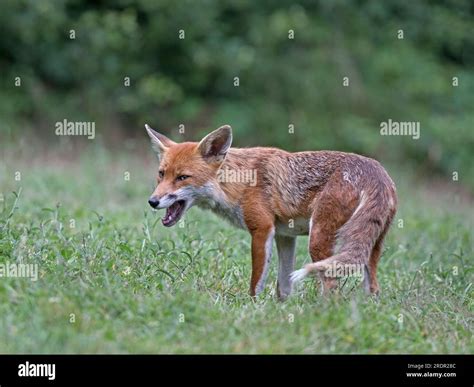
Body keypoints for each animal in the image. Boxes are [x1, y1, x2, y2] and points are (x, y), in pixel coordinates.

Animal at [144, 124, 396, 300]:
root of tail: (378, 172)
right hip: (371, 247)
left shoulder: (262, 229)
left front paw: (252, 307)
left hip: (317, 240)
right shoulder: (285, 236)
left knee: (332, 287)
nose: (152, 201)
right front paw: (281, 310)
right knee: (373, 288)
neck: (240, 182)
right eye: (161, 174)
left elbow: (257, 281)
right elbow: (283, 286)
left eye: (182, 177)